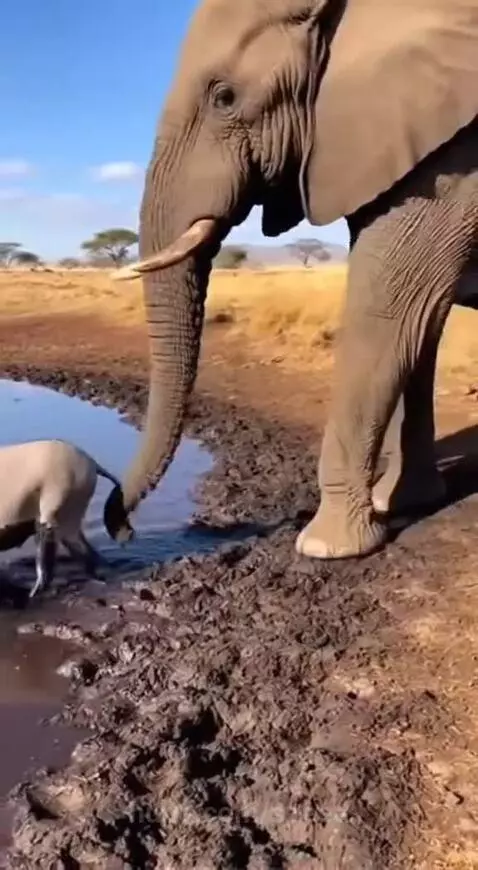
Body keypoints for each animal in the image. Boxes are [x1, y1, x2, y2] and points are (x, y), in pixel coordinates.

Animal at [103, 0, 478, 560]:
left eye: (225, 97)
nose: (120, 528)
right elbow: (420, 323)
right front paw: (402, 503)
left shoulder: (459, 160)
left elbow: (388, 310)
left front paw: (326, 547)